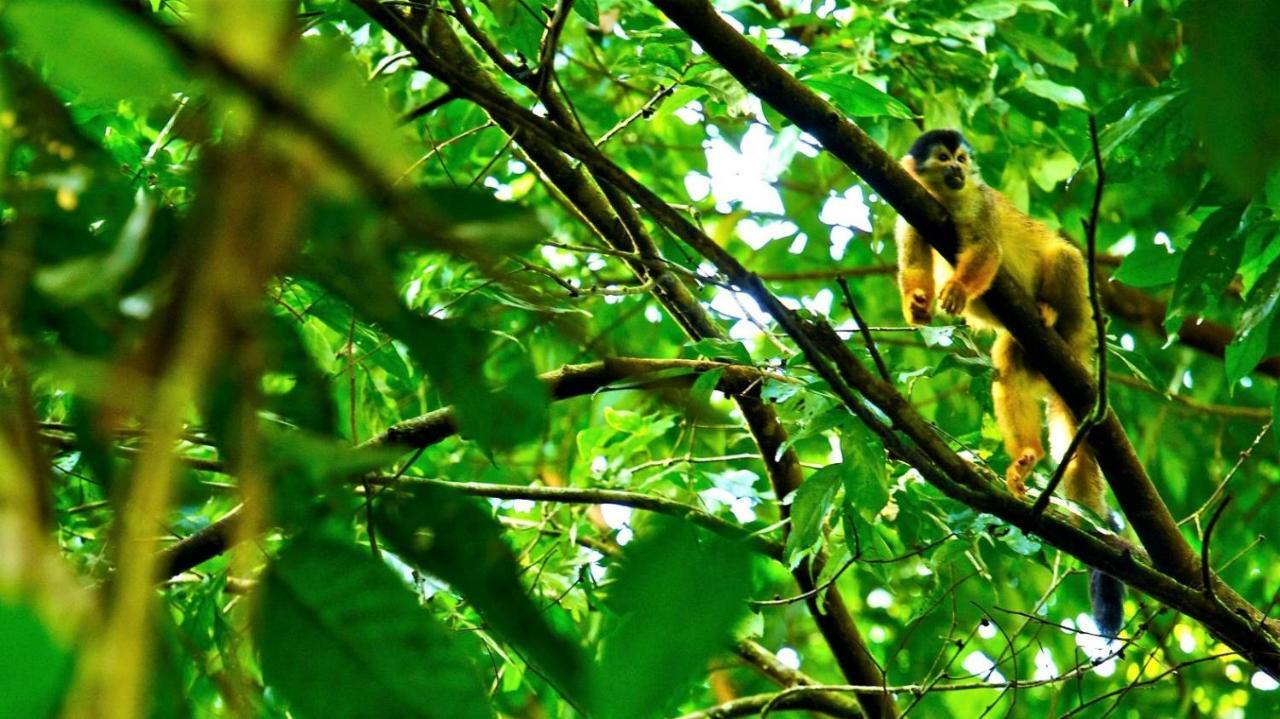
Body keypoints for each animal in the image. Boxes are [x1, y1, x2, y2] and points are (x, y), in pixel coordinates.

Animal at [901, 128, 1121, 632]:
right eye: (943, 159)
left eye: (961, 159)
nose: (958, 171)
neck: (945, 199)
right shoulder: (910, 207)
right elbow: (914, 264)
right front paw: (916, 304)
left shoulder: (978, 202)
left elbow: (988, 249)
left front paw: (959, 287)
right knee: (1006, 364)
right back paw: (1027, 455)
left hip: (1081, 322)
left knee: (1064, 255)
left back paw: (1052, 314)